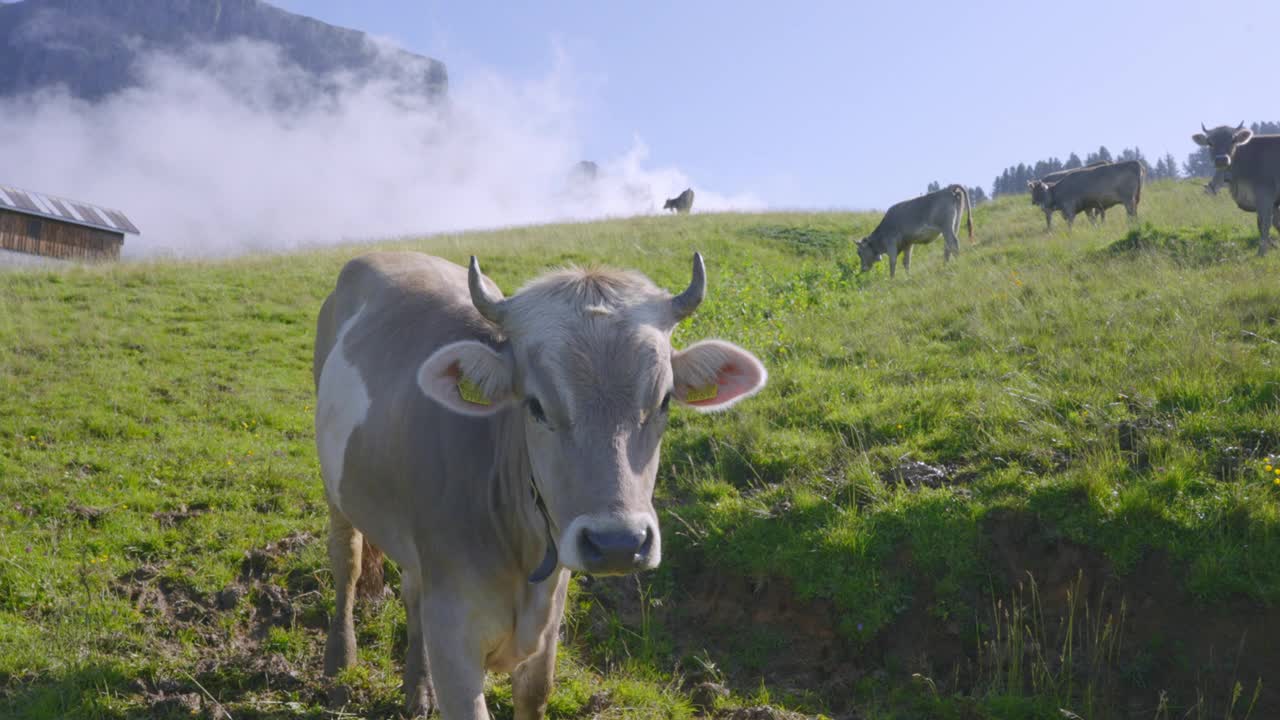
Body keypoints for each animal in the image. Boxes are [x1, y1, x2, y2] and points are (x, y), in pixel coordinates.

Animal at [313, 251, 762, 717]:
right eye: (536, 406)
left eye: (664, 401)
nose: (618, 543)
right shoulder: (454, 638)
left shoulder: (546, 628)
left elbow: (534, 693)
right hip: (335, 490)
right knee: (347, 561)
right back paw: (339, 662)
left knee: (412, 590)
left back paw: (418, 687)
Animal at [1187, 122, 1280, 254]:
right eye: (1210, 142)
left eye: (1233, 140)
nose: (1221, 159)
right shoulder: (1273, 202)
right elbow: (1274, 223)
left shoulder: (1265, 196)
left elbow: (1264, 224)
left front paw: (1261, 253)